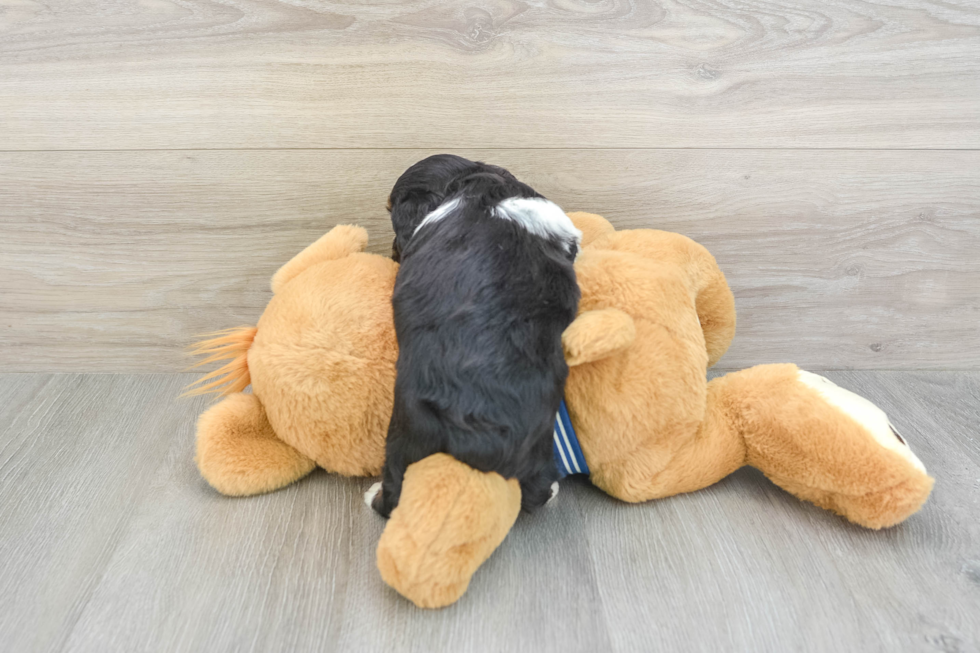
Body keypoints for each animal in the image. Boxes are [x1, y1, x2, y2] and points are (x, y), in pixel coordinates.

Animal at [368, 155, 580, 516]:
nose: (394, 252)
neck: (478, 186)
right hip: (536, 442)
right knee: (536, 489)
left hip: (406, 436)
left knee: (395, 486)